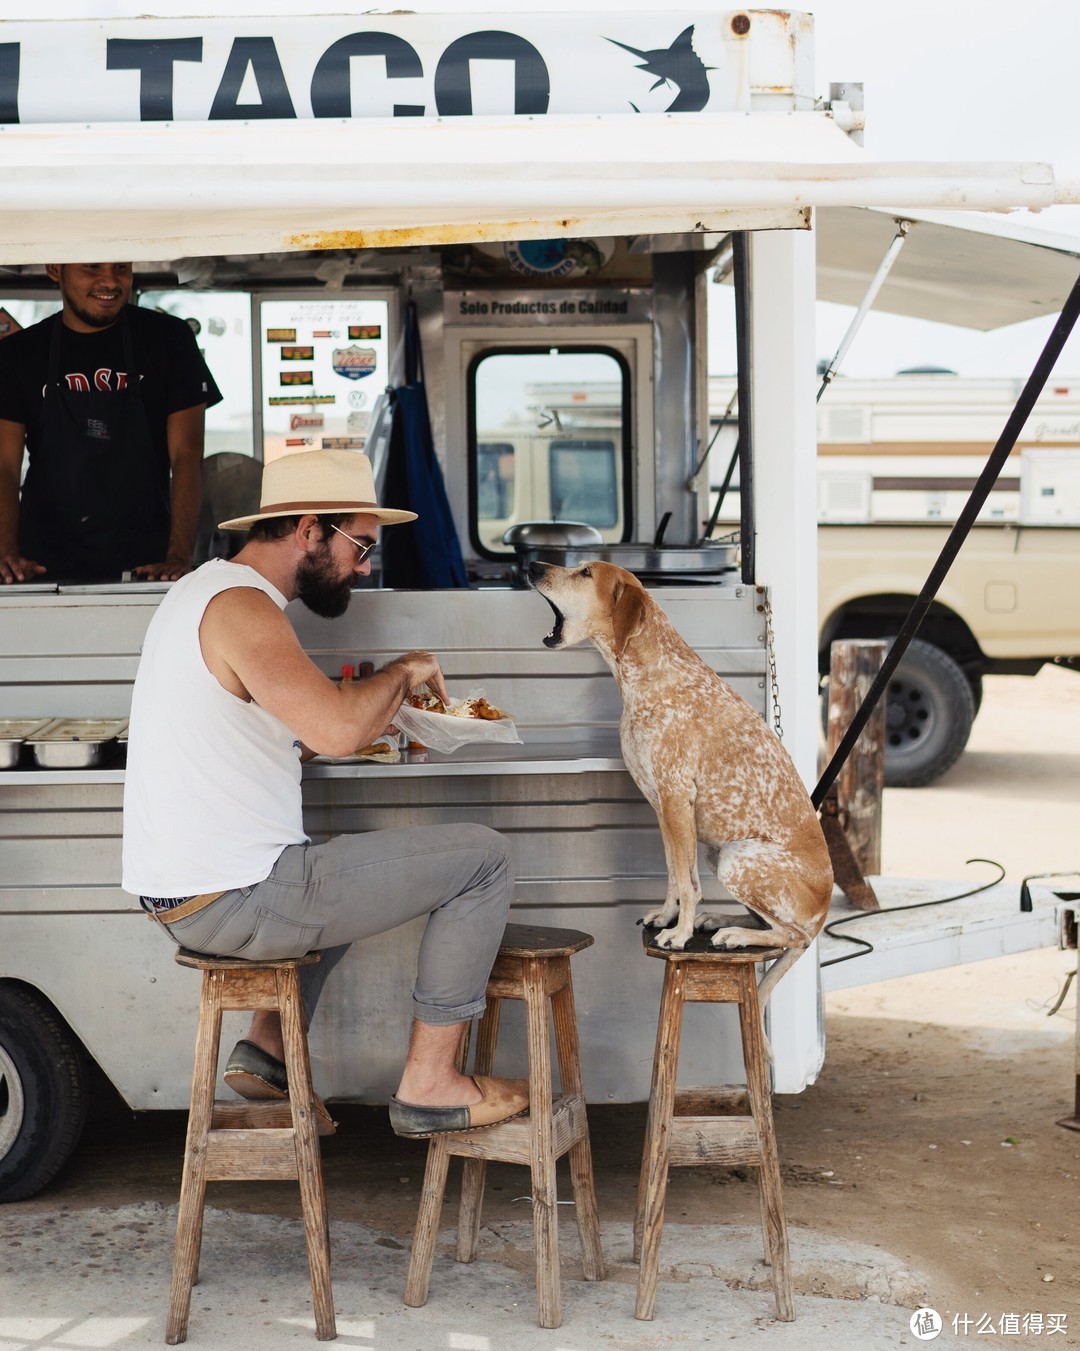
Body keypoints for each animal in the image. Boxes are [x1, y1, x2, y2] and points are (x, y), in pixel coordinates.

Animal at [532, 556, 838, 1005]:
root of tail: (824, 911)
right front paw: (669, 917)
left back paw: (734, 933)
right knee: (766, 923)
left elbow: (689, 884)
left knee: (790, 935)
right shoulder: (660, 804)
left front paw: (679, 934)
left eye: (585, 572)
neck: (649, 675)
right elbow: (675, 874)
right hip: (718, 852)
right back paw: (720, 920)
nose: (533, 565)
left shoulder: (676, 797)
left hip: (737, 858)